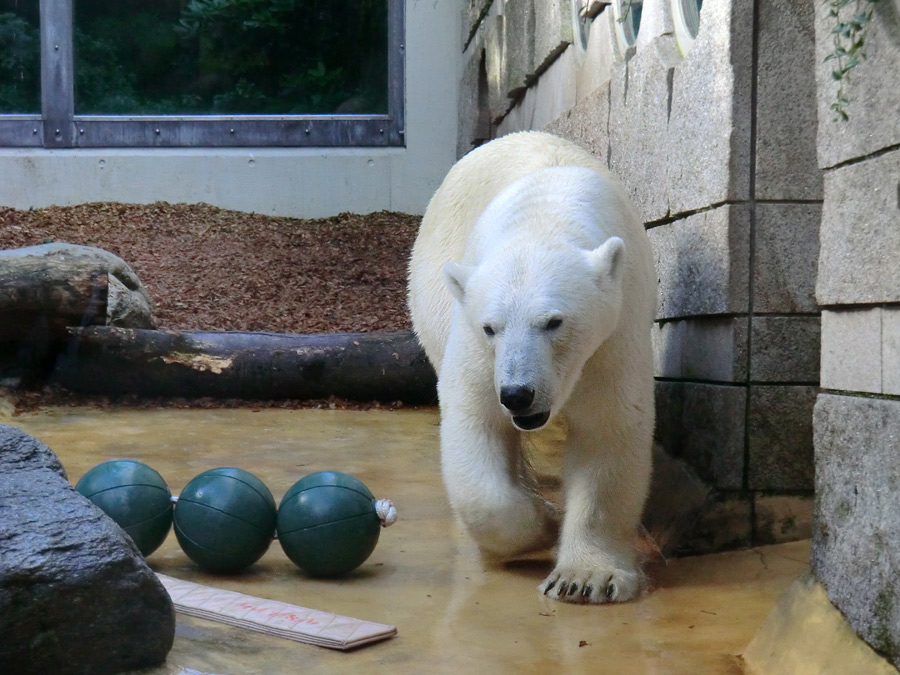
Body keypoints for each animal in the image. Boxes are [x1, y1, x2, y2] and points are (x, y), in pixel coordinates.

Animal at [408, 129, 652, 604]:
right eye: (491, 327)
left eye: (554, 322)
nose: (519, 394)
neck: (546, 217)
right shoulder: (474, 341)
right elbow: (474, 420)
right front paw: (543, 523)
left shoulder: (613, 336)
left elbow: (608, 429)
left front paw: (585, 577)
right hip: (431, 292)